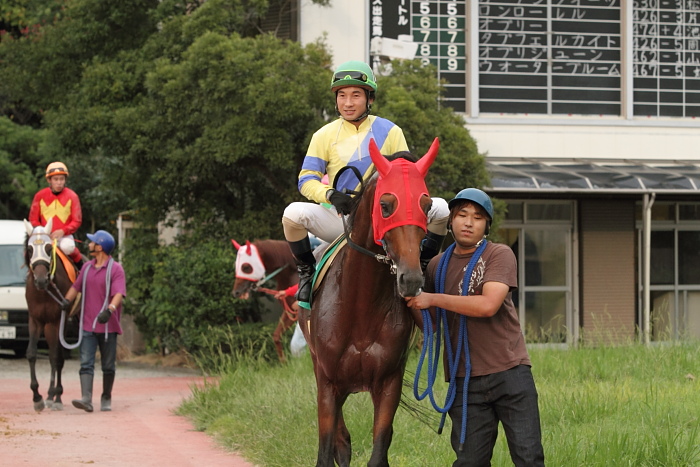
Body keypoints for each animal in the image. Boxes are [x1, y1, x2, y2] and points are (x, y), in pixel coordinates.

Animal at [22, 219, 73, 414]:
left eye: (49, 248)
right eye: (29, 249)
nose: (42, 280)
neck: (44, 292)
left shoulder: (57, 320)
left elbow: (57, 357)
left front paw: (57, 396)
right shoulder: (35, 320)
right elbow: (31, 353)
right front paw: (37, 397)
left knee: (56, 356)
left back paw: (55, 395)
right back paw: (50, 395)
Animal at [300, 137, 438, 466]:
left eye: (426, 205)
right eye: (386, 205)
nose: (411, 279)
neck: (360, 308)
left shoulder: (388, 382)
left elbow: (379, 451)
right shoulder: (328, 382)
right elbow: (326, 450)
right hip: (317, 364)